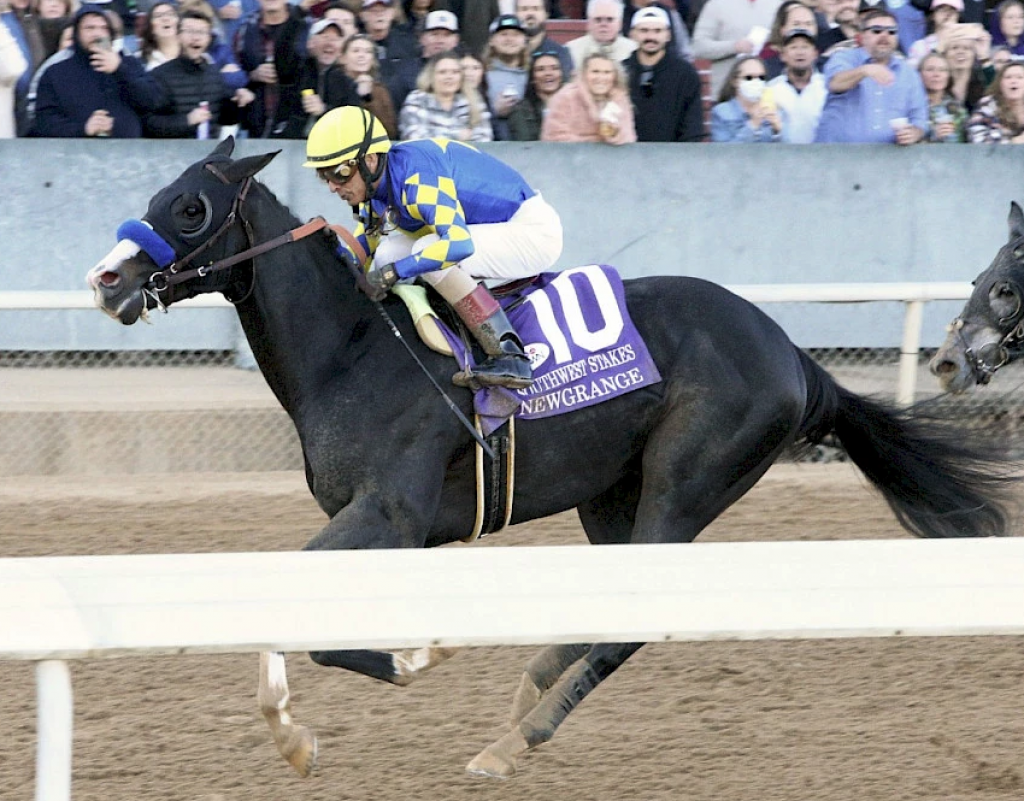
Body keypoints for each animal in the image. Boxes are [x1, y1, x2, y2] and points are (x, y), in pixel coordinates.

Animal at [83, 141, 1011, 782]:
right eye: (157, 194)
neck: (353, 350)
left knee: (633, 621)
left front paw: (412, 660)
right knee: (604, 609)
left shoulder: (390, 514)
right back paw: (526, 692)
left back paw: (513, 739)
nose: (105, 280)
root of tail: (793, 352)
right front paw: (296, 732)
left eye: (190, 207)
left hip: (684, 484)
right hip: (611, 496)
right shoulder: (378, 524)